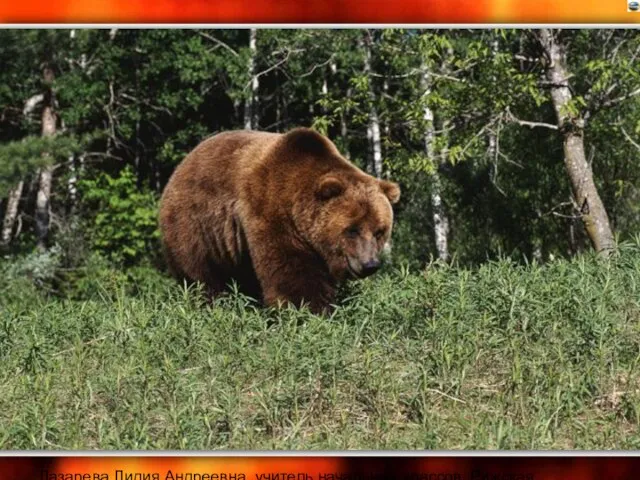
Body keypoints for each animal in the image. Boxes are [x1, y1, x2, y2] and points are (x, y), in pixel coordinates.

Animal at [159, 127, 400, 316]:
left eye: (379, 231)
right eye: (352, 230)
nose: (370, 264)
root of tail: (181, 165)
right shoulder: (269, 212)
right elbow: (291, 272)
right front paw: (309, 312)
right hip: (195, 225)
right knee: (201, 274)